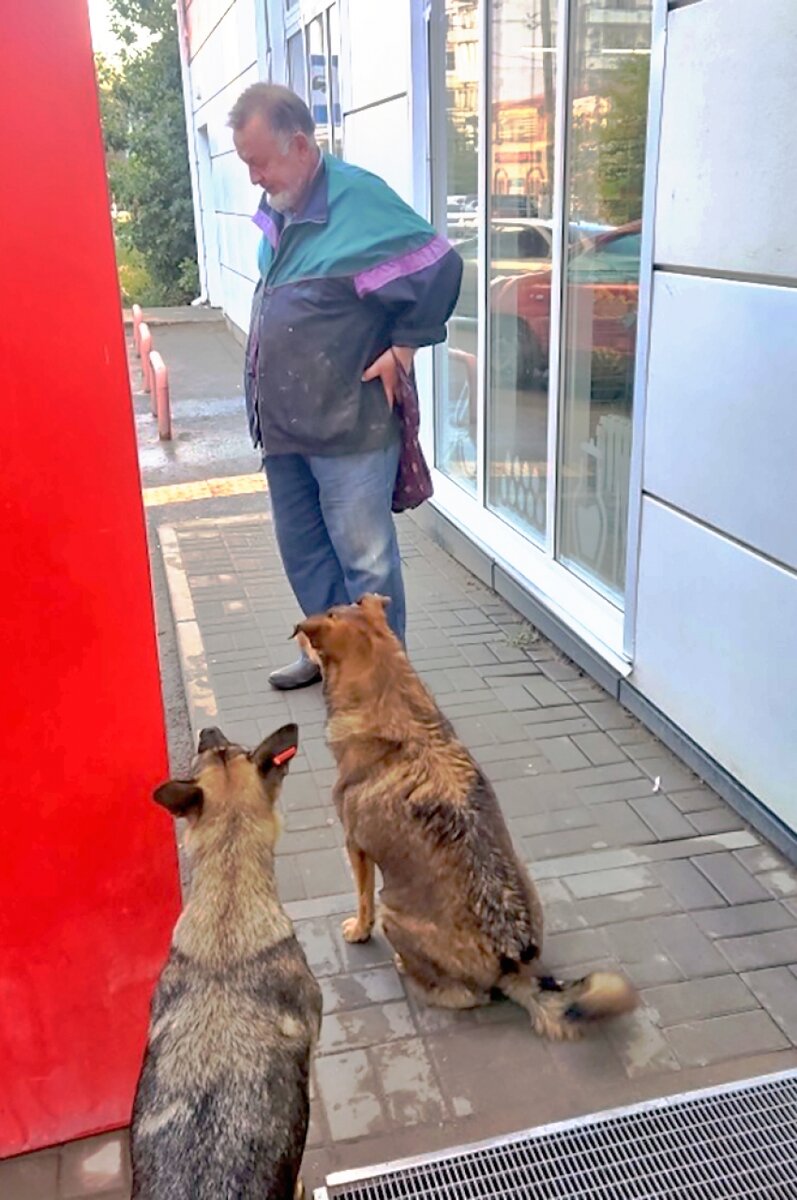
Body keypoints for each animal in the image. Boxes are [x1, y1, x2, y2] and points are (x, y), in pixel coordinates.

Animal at [295, 600, 638, 1041]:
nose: (298, 634)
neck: (396, 707)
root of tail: (512, 960)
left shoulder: (355, 845)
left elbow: (362, 897)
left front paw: (358, 929)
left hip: (394, 913)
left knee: (465, 996)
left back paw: (408, 967)